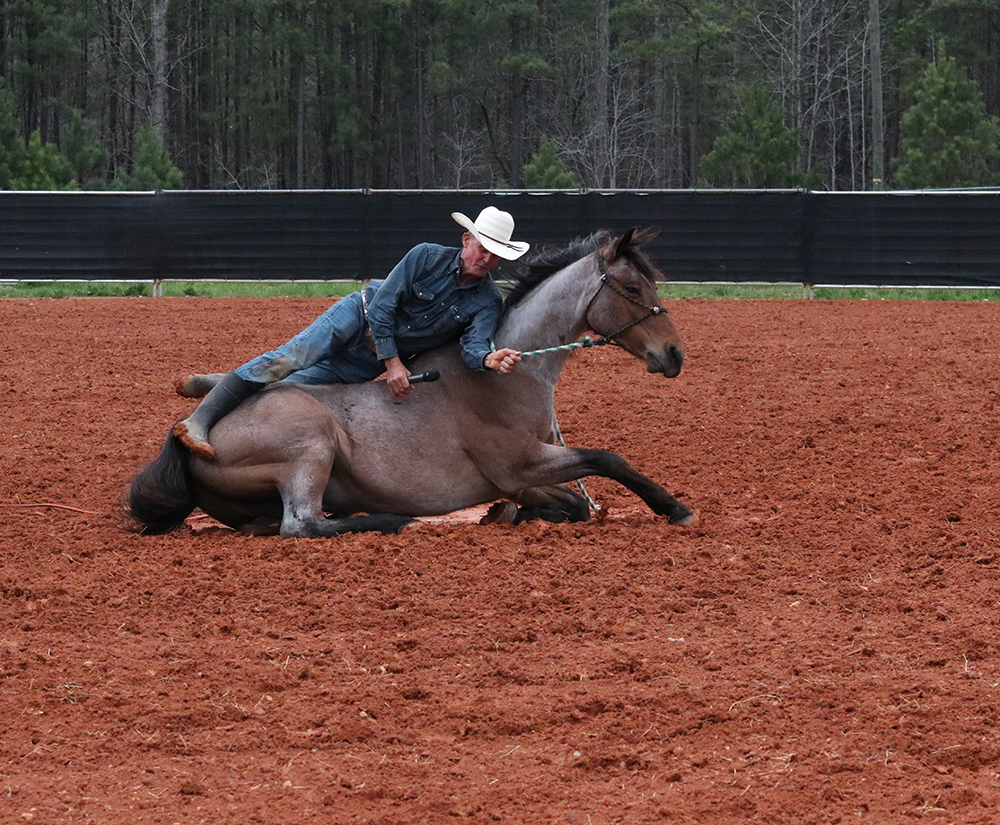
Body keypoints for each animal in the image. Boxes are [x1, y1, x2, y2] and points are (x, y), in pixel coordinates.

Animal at [127, 225, 696, 536]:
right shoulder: (520, 462)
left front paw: (504, 514)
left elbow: (574, 503)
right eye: (631, 287)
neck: (508, 374)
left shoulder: (522, 474)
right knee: (302, 523)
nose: (674, 354)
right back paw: (393, 520)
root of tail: (193, 445)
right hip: (310, 445)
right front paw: (675, 508)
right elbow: (607, 459)